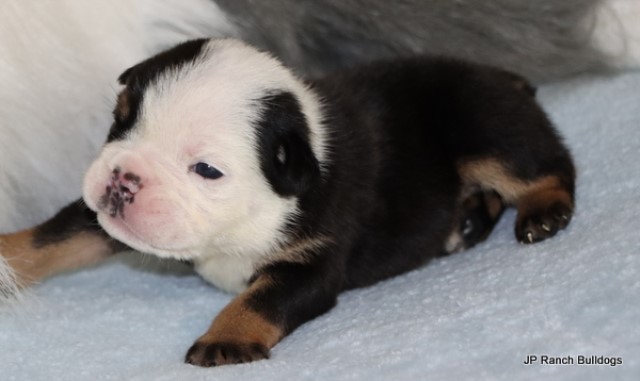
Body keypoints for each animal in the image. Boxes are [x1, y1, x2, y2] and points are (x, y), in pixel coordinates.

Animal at [0, 38, 576, 366]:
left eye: (206, 169)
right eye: (120, 121)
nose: (122, 180)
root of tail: (504, 77)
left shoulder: (310, 261)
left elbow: (261, 299)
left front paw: (225, 339)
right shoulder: (100, 219)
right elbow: (53, 236)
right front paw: (6, 256)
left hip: (485, 128)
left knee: (544, 165)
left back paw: (543, 212)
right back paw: (467, 223)